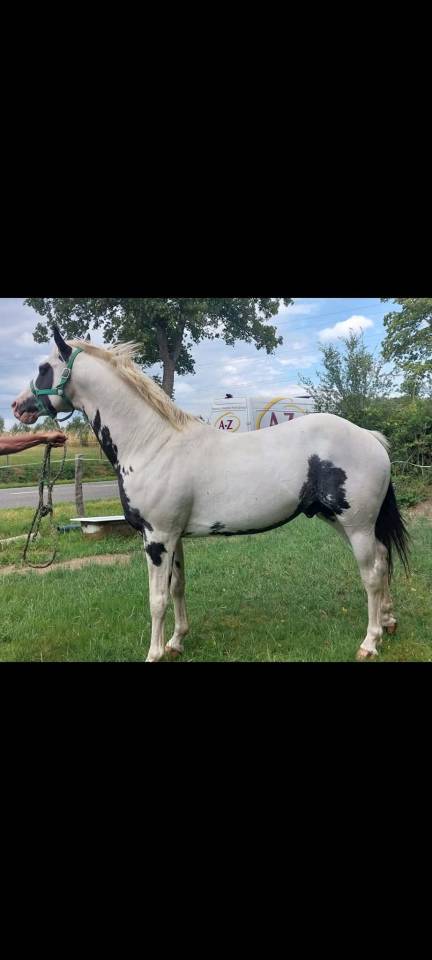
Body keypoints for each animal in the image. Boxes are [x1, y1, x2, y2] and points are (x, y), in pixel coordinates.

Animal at [12, 326, 410, 662]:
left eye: (44, 367)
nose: (18, 406)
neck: (151, 445)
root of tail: (369, 436)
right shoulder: (173, 537)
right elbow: (178, 588)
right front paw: (175, 643)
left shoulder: (156, 538)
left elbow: (157, 598)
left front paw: (154, 653)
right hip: (343, 522)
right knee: (382, 559)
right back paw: (388, 622)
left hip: (356, 524)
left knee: (372, 573)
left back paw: (370, 642)